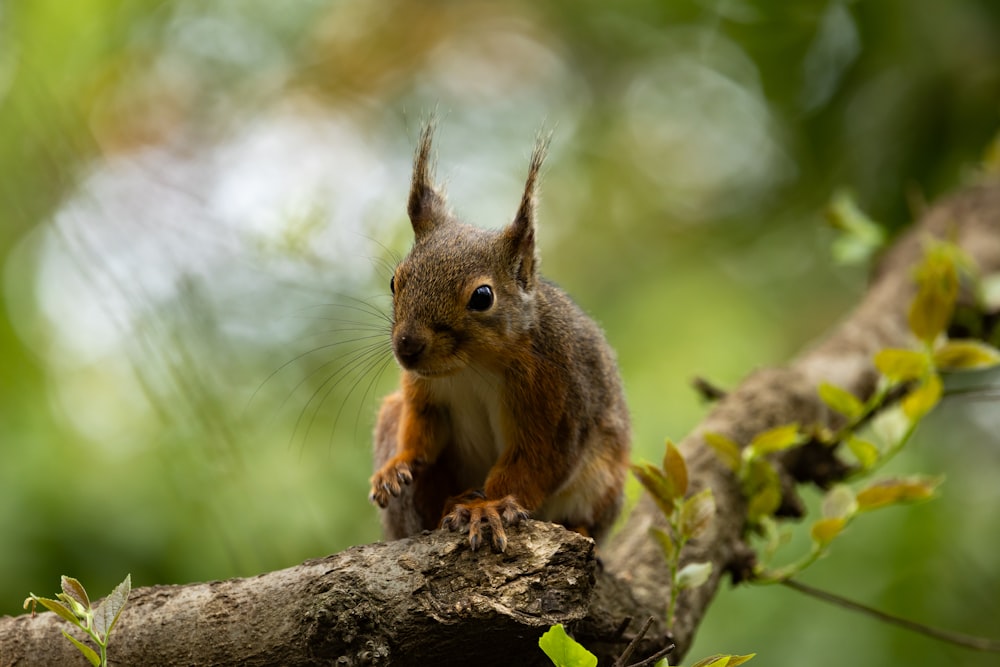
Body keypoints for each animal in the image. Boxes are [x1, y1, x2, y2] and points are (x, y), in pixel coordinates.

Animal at [368, 121, 632, 552]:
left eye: (482, 296)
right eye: (395, 280)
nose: (407, 347)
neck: (470, 367)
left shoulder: (554, 401)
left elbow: (531, 464)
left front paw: (486, 506)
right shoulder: (425, 395)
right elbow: (423, 432)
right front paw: (398, 464)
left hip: (604, 477)